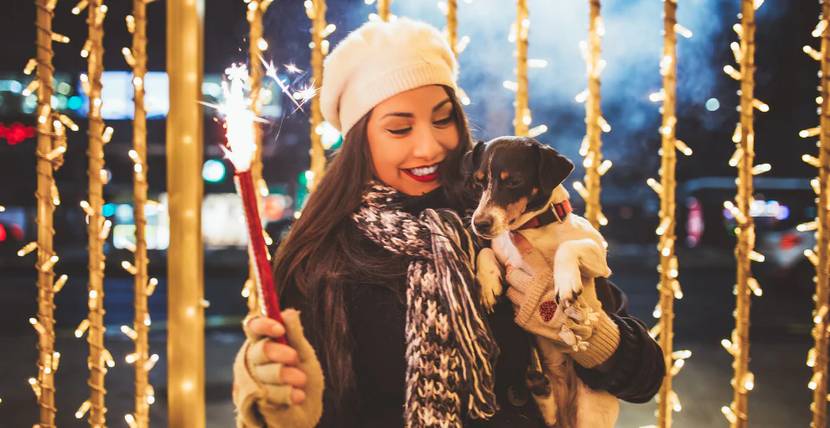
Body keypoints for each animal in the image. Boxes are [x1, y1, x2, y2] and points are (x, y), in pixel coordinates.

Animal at [468, 136, 616, 428]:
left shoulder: (598, 255)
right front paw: (488, 283)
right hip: (549, 405)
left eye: (513, 181)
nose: (479, 224)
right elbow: (486, 251)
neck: (532, 229)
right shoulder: (502, 253)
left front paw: (565, 281)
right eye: (478, 183)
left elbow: (567, 247)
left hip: (591, 411)